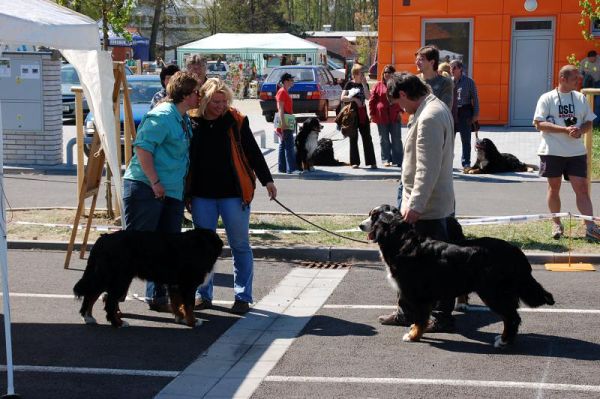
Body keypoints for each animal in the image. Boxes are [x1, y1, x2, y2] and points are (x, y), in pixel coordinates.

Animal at [74, 228, 224, 328]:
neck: (198, 246)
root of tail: (103, 238)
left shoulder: (175, 284)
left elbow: (177, 303)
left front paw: (180, 318)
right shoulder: (188, 284)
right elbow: (189, 305)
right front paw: (193, 321)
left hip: (105, 276)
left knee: (92, 294)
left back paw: (88, 317)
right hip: (119, 278)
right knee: (109, 301)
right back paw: (118, 323)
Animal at [358, 206, 556, 350]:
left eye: (373, 217)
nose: (360, 225)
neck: (401, 241)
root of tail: (516, 252)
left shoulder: (418, 295)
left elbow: (420, 319)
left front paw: (413, 335)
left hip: (493, 293)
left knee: (512, 318)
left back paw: (503, 341)